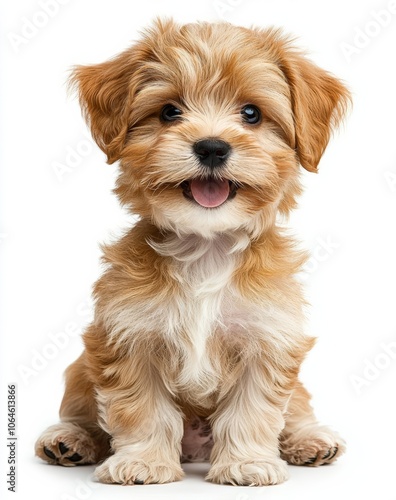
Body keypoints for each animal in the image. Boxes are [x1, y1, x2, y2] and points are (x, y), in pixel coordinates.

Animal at [34, 18, 350, 484]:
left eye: (251, 113)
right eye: (169, 112)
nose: (212, 146)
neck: (206, 247)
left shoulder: (267, 339)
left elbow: (253, 409)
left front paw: (247, 462)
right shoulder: (128, 337)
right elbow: (141, 408)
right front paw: (144, 461)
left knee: (297, 406)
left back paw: (311, 439)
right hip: (81, 368)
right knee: (82, 407)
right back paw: (68, 438)